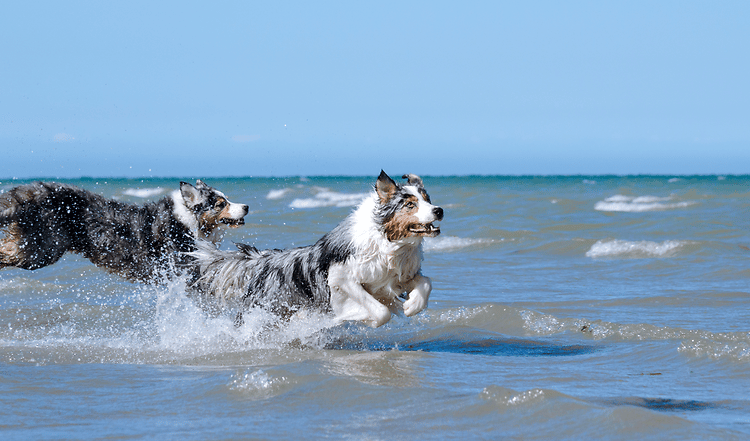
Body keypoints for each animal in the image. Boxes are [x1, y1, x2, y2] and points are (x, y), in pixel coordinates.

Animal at [0, 179, 253, 282]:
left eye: (226, 199)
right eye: (220, 204)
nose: (247, 207)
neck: (187, 220)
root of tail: (33, 191)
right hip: (40, 250)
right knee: (7, 250)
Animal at [191, 172, 446, 326]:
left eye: (427, 199)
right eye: (410, 204)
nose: (439, 210)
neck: (389, 243)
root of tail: (262, 259)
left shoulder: (397, 276)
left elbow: (426, 282)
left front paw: (412, 305)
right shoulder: (341, 277)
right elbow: (380, 311)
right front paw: (363, 318)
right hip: (262, 310)